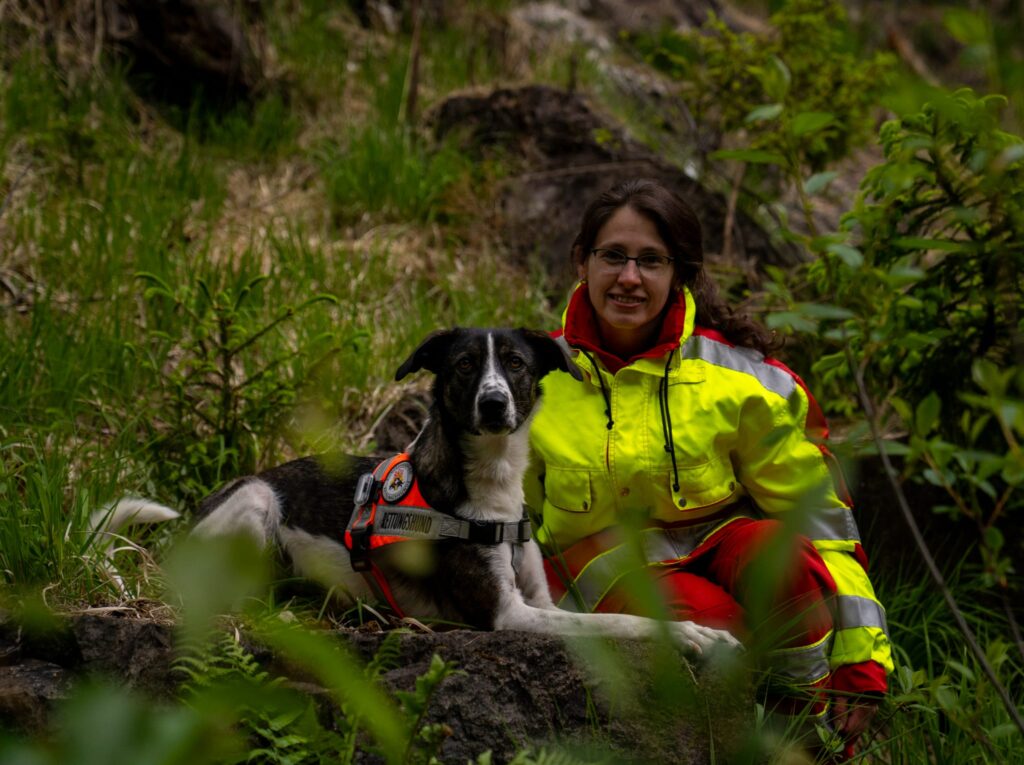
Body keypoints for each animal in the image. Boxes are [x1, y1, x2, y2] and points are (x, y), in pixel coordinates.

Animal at [102, 328, 739, 656]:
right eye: (463, 364)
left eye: (515, 363)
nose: (494, 403)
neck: (492, 482)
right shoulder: (506, 614)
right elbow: (620, 623)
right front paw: (695, 636)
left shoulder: (541, 599)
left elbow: (607, 614)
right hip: (259, 502)